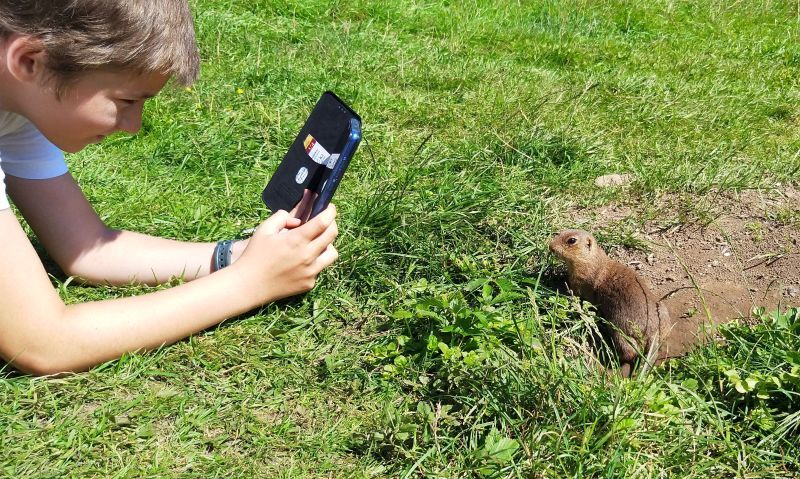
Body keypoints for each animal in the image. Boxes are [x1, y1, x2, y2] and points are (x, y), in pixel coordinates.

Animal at [548, 230, 672, 378]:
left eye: (572, 240)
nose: (550, 246)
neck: (593, 259)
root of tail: (654, 332)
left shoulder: (581, 279)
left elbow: (576, 293)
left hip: (620, 332)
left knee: (631, 353)